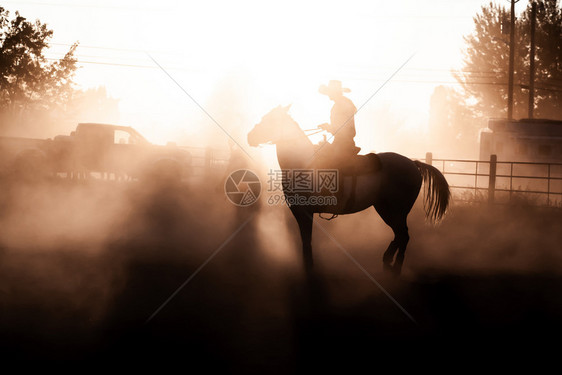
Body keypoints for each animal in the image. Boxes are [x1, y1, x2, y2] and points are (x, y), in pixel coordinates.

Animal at [247, 106, 448, 276]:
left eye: (270, 120)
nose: (249, 137)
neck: (302, 162)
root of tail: (413, 163)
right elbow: (305, 240)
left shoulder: (304, 212)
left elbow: (306, 241)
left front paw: (309, 268)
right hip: (385, 208)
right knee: (400, 235)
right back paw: (388, 262)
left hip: (396, 210)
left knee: (403, 235)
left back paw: (394, 268)